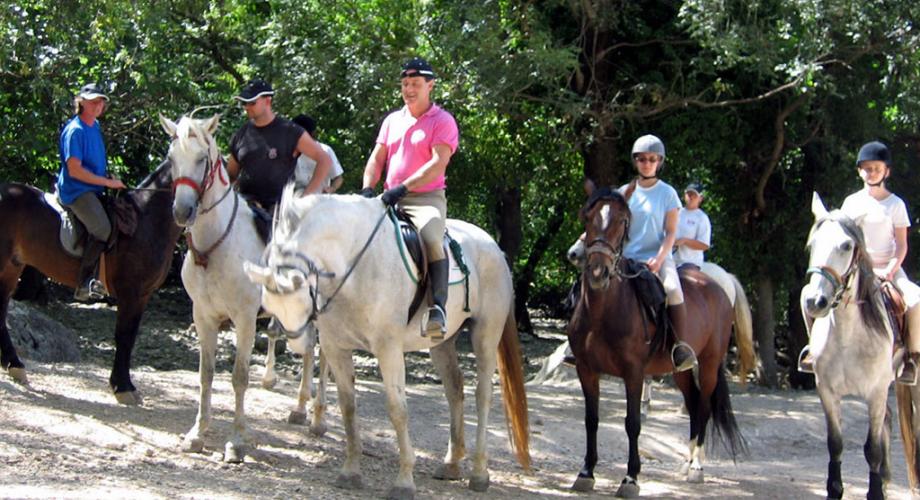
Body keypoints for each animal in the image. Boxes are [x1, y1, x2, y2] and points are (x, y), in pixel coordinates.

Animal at [0, 162, 181, 404]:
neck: (147, 220)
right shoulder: (131, 293)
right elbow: (124, 336)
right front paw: (123, 388)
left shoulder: (142, 295)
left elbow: (130, 337)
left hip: (12, 267)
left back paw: (14, 366)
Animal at [160, 113, 328, 460]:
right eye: (171, 159)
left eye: (202, 158)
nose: (182, 211)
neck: (215, 246)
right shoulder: (203, 317)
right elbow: (206, 375)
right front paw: (197, 433)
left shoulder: (246, 319)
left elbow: (239, 378)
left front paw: (236, 441)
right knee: (308, 349)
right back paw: (300, 408)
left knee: (325, 356)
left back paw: (318, 416)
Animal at [244, 188, 532, 500]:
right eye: (270, 304)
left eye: (299, 296)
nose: (297, 345)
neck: (355, 260)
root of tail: (493, 246)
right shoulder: (336, 348)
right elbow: (348, 407)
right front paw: (350, 471)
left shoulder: (388, 349)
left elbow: (398, 410)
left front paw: (404, 481)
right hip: (442, 344)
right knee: (455, 390)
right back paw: (451, 464)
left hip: (485, 336)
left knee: (482, 396)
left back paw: (479, 473)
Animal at [568, 181, 756, 496]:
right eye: (586, 218)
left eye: (623, 221)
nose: (597, 272)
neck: (603, 311)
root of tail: (719, 285)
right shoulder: (586, 369)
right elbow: (591, 420)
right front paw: (586, 472)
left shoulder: (633, 372)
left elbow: (633, 423)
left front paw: (630, 478)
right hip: (680, 370)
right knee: (692, 403)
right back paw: (686, 463)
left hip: (708, 364)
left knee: (703, 407)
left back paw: (696, 467)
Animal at [800, 192, 916, 500]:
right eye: (812, 245)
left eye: (846, 245)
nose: (814, 302)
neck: (848, 336)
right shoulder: (827, 392)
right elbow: (835, 443)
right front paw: (834, 490)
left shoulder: (875, 392)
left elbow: (872, 448)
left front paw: (874, 492)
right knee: (888, 420)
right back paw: (886, 479)